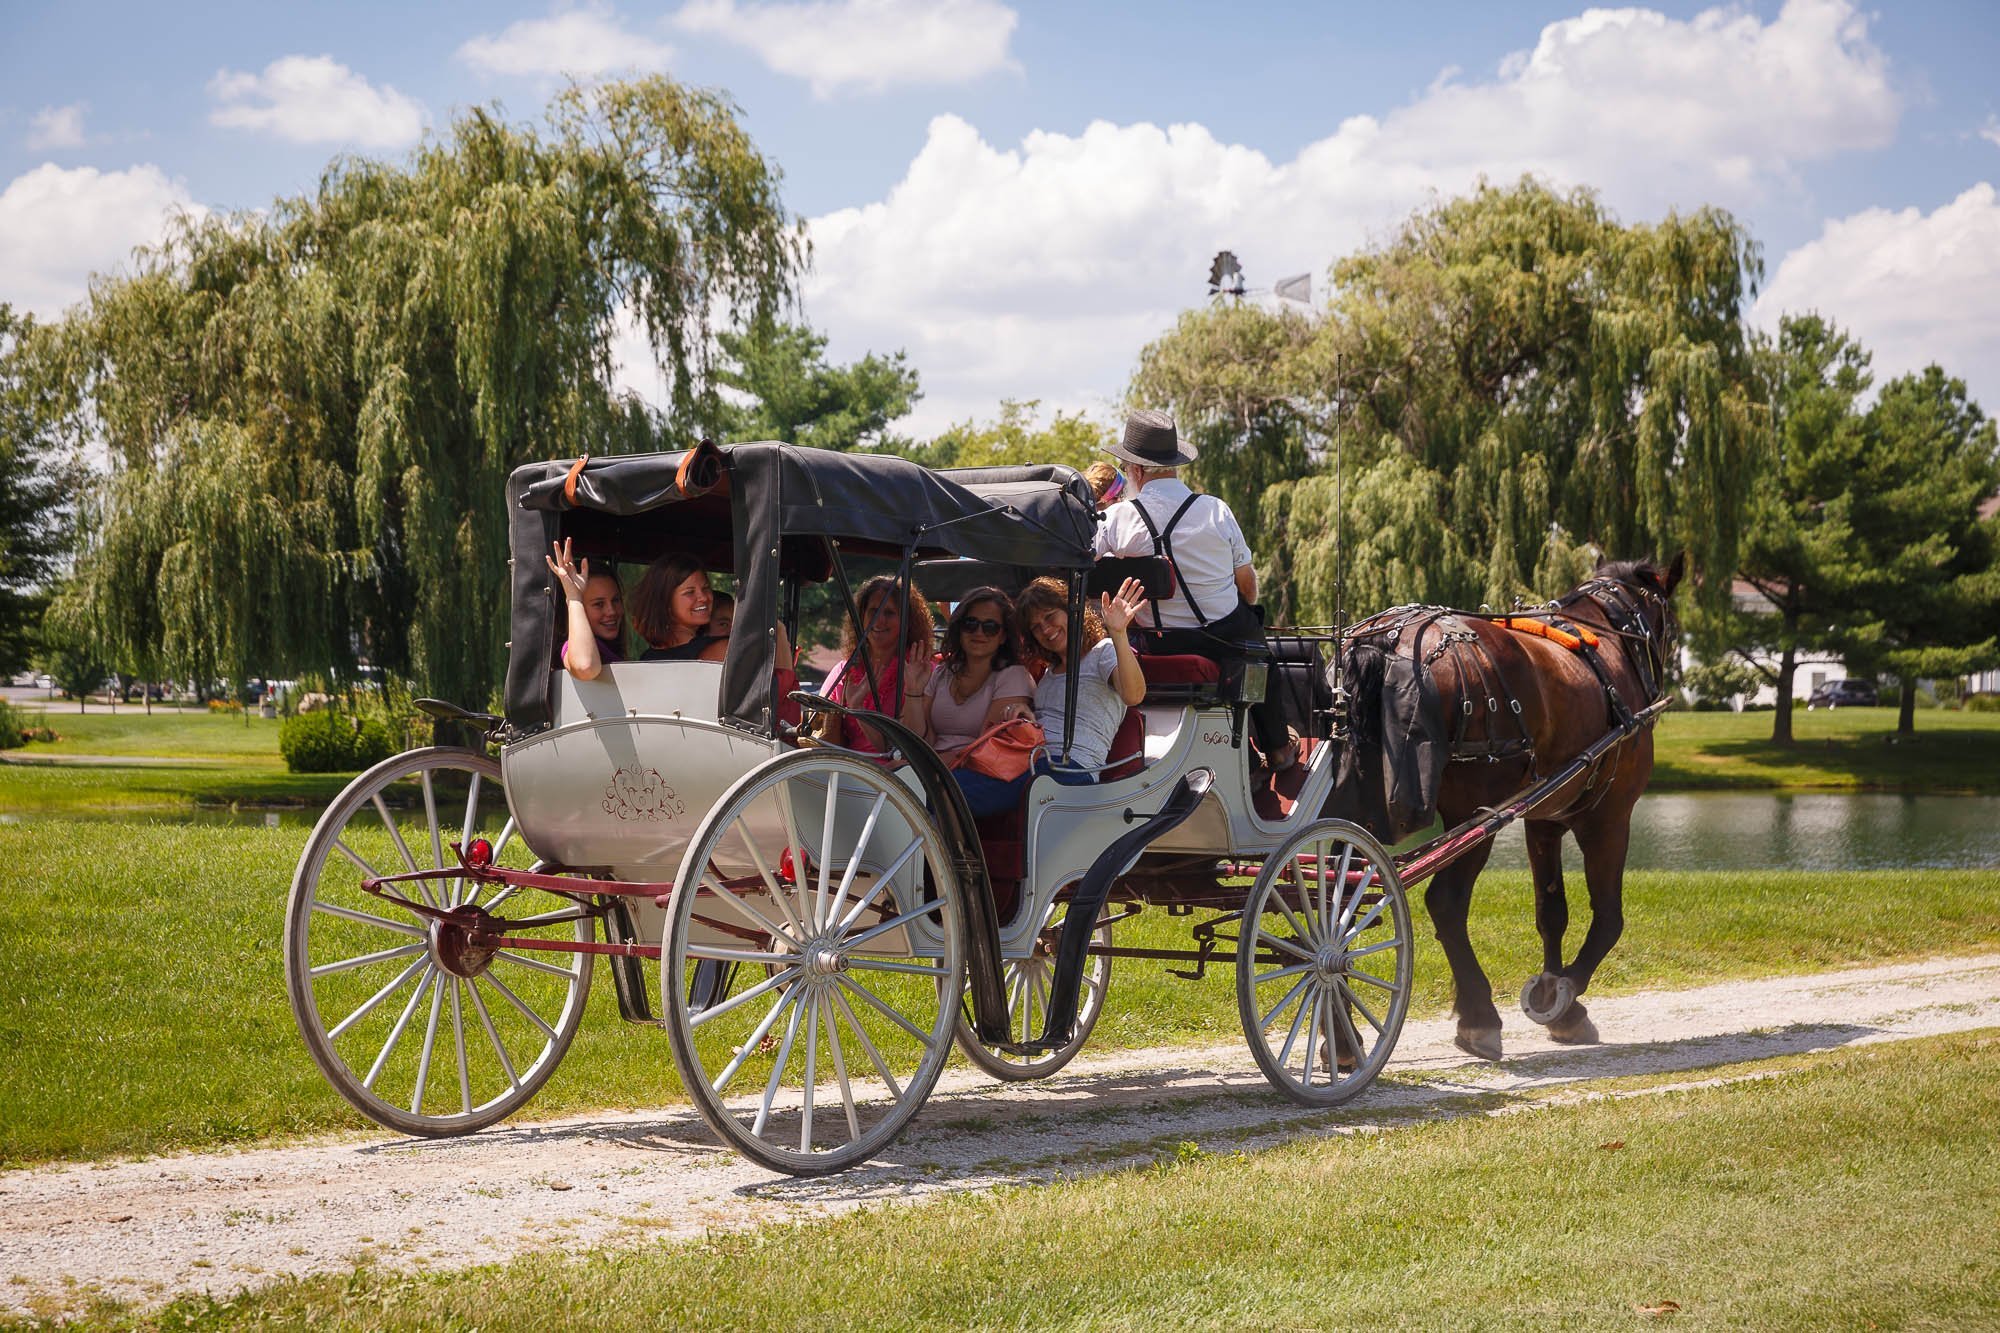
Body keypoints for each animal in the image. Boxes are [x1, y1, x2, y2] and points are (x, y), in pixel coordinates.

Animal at [1336, 552, 1680, 1056]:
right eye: (1671, 624)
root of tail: (1389, 638)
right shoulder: (1610, 817)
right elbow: (1608, 918)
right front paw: (1565, 993)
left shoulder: (1544, 821)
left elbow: (1552, 913)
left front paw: (1558, 998)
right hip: (1476, 816)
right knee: (1446, 904)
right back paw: (1478, 1015)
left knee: (1331, 899)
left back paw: (1341, 1038)